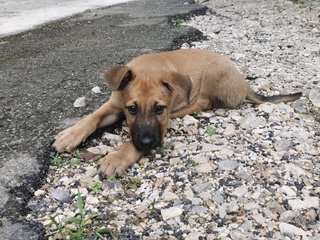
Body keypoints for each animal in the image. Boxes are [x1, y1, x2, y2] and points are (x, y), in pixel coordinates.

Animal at [52, 48, 300, 176]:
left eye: (159, 108)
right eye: (131, 109)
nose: (147, 143)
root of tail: (245, 84)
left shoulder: (160, 124)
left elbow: (133, 140)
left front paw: (118, 157)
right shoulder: (114, 105)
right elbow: (92, 117)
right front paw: (70, 135)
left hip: (213, 72)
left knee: (203, 103)